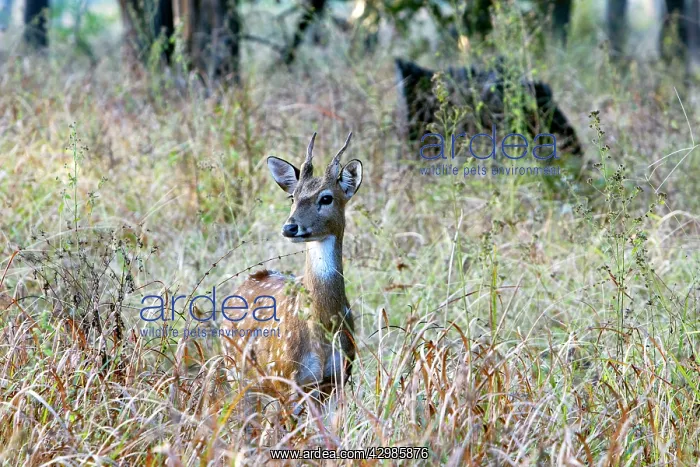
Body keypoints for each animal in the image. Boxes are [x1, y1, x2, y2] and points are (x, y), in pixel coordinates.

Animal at [222, 132, 362, 441]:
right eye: (292, 196)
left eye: (326, 197)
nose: (290, 227)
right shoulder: (289, 379)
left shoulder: (337, 380)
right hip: (235, 370)